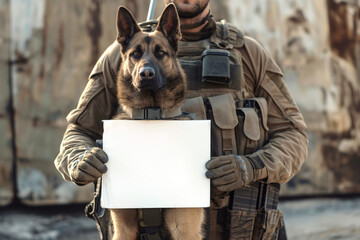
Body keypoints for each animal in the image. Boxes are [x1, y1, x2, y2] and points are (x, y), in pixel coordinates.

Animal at [109, 3, 205, 240]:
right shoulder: (123, 229)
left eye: (161, 53)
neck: (151, 112)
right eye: (135, 54)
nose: (146, 74)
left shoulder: (185, 229)